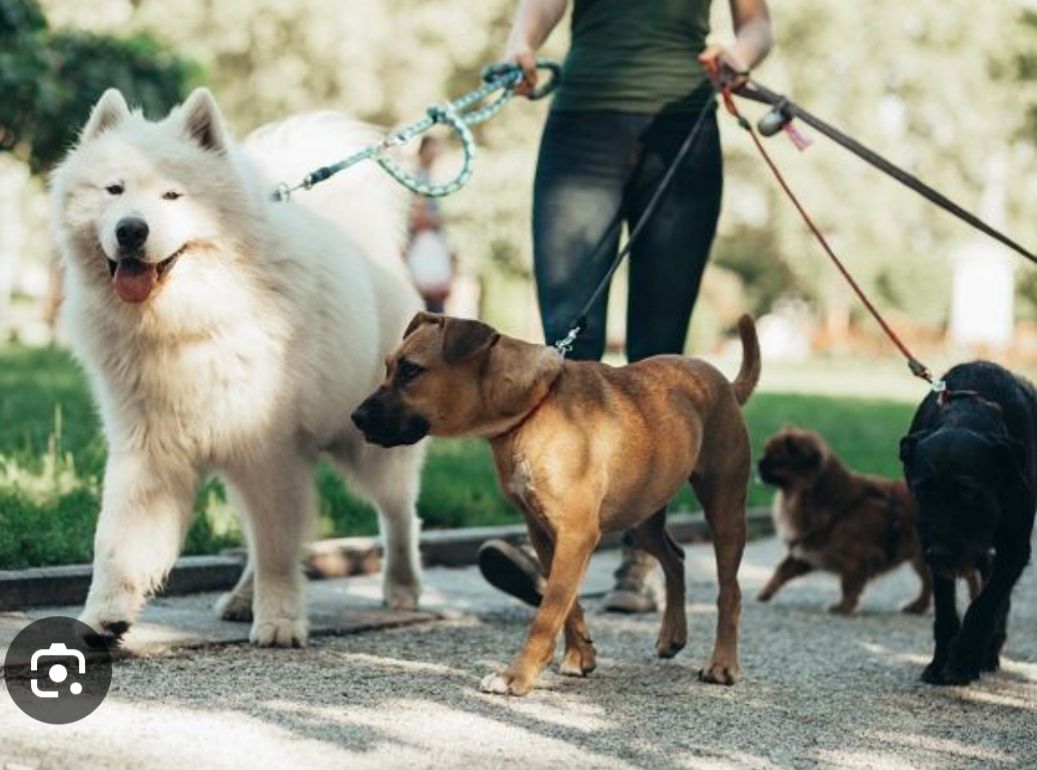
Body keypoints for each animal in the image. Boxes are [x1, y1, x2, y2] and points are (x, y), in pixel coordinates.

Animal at [51, 87, 425, 646]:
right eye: (113, 190)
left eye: (173, 196)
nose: (131, 229)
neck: (189, 320)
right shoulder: (148, 449)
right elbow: (118, 543)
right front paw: (103, 617)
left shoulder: (268, 449)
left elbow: (278, 550)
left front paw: (280, 621)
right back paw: (242, 598)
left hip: (368, 447)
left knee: (399, 516)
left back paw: (402, 586)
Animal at [350, 310, 763, 696]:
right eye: (388, 366)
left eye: (411, 370)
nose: (356, 417)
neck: (532, 409)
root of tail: (725, 385)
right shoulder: (545, 533)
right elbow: (567, 604)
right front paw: (580, 655)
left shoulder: (576, 534)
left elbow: (547, 614)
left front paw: (516, 675)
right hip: (642, 514)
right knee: (675, 560)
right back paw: (672, 635)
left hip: (724, 511)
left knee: (730, 592)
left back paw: (722, 664)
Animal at [759, 426, 974, 613]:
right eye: (765, 453)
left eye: (776, 459)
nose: (759, 463)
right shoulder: (806, 553)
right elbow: (782, 570)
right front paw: (764, 593)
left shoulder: (855, 558)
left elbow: (848, 585)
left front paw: (842, 607)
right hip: (921, 558)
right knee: (929, 583)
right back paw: (917, 606)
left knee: (972, 576)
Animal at [900, 360, 1037, 688]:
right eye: (923, 490)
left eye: (969, 492)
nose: (939, 553)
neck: (965, 418)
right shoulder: (931, 549)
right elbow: (946, 610)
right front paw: (940, 663)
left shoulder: (1015, 548)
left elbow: (984, 606)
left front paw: (962, 660)